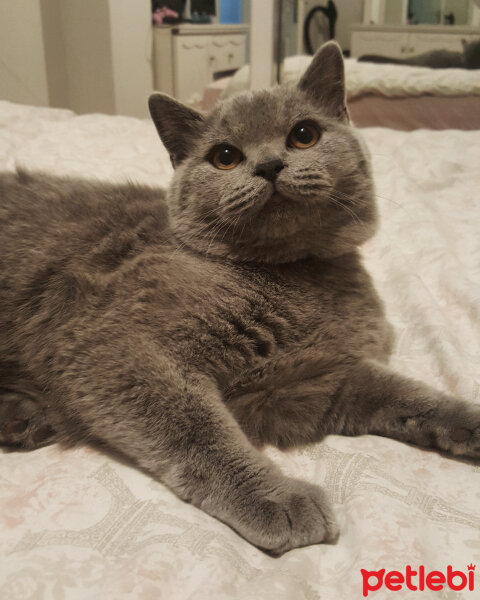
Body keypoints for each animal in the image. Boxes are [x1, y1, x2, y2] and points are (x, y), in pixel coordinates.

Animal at [0, 43, 480, 556]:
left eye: (304, 135)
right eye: (225, 157)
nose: (269, 165)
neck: (297, 276)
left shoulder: (314, 379)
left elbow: (406, 392)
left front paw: (467, 420)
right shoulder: (114, 345)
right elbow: (196, 427)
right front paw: (278, 499)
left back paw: (22, 418)